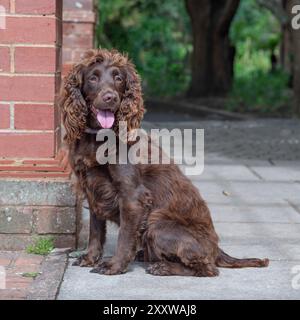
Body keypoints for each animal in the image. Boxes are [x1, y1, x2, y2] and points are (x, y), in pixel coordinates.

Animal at [59, 48, 268, 276]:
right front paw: (90, 258)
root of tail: (217, 249)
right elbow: (95, 231)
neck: (98, 137)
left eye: (118, 78)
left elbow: (125, 236)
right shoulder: (92, 189)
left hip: (157, 222)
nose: (110, 97)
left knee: (207, 268)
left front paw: (114, 265)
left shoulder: (133, 196)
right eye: (93, 78)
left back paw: (162, 267)